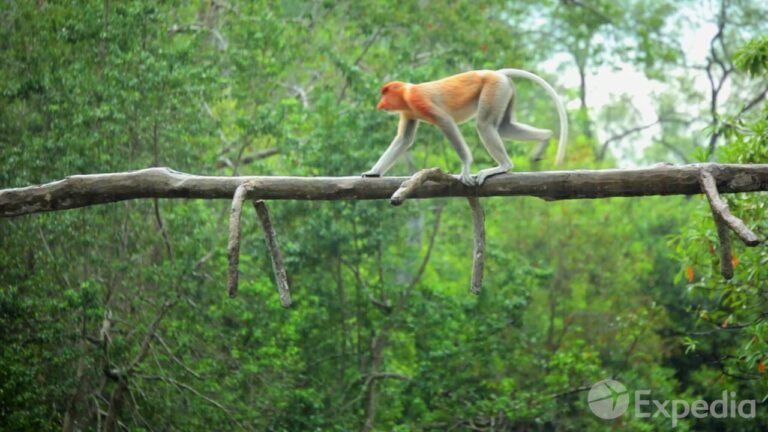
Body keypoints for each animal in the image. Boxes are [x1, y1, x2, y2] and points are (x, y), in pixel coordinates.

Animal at [362, 69, 568, 186]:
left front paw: (466, 167)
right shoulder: (408, 112)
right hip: (505, 91)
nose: (380, 104)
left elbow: (446, 122)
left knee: (484, 125)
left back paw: (503, 166)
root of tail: (496, 73)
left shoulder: (418, 101)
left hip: (494, 89)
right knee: (504, 127)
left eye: (385, 93)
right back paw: (546, 137)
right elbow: (404, 139)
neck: (406, 93)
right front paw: (373, 172)